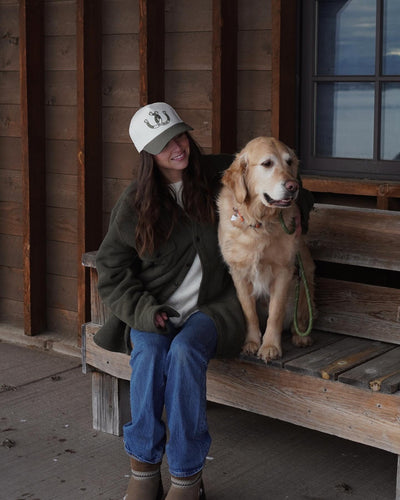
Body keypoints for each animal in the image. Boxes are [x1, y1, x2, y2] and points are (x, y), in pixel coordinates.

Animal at [219, 137, 316, 362]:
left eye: (289, 162)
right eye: (267, 164)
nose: (293, 185)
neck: (260, 221)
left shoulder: (284, 271)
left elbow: (276, 312)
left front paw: (270, 346)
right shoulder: (238, 272)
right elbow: (249, 312)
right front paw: (252, 342)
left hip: (306, 273)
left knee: (302, 314)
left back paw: (301, 336)